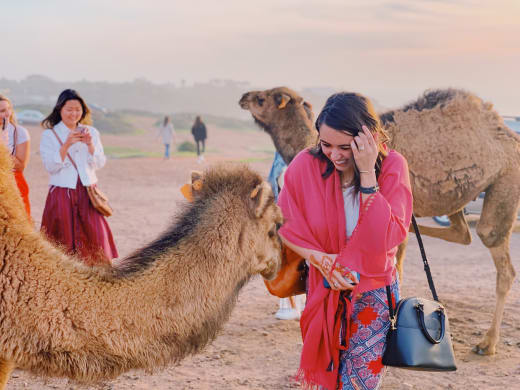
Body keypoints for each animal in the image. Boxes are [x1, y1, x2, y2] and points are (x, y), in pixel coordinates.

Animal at [240, 87, 520, 354]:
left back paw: (487, 343)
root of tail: (510, 135)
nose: (244, 97)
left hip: (506, 178)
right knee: (462, 232)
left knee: (493, 245)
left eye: (264, 99)